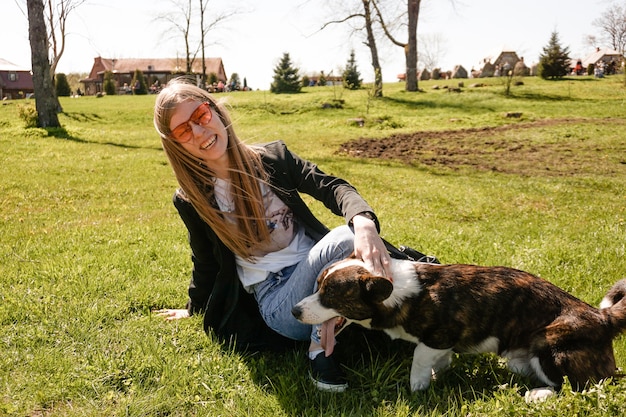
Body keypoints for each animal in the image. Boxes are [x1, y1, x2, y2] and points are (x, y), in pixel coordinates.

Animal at [292, 254, 624, 400]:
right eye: (317, 285)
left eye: (330, 295)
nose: (295, 311)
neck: (398, 292)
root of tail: (602, 317)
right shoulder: (441, 347)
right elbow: (440, 364)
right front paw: (438, 378)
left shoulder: (435, 340)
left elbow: (418, 363)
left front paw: (417, 391)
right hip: (523, 358)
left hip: (551, 345)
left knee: (576, 387)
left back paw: (539, 395)